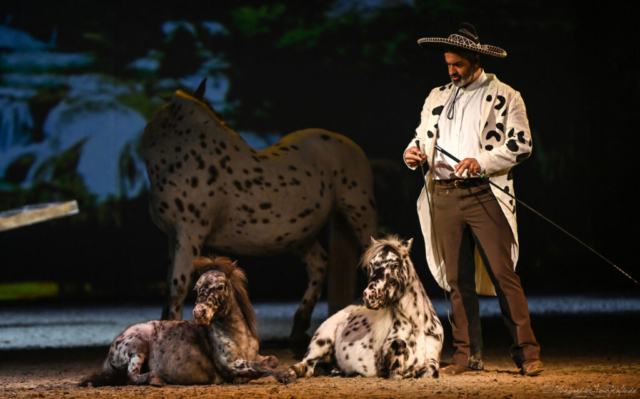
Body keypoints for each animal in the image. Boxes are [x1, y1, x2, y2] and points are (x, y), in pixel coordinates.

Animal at [81, 256, 286, 388]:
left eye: (220, 286)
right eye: (196, 288)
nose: (199, 314)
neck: (238, 336)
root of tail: (113, 347)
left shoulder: (254, 355)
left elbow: (272, 360)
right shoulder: (230, 363)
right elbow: (259, 366)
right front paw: (285, 375)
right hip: (138, 348)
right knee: (132, 376)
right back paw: (155, 379)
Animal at [141, 79, 376, 346]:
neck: (184, 157)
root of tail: (350, 145)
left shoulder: (189, 234)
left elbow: (177, 288)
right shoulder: (174, 237)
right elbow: (168, 290)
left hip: (360, 213)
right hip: (301, 237)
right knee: (318, 265)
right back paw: (298, 328)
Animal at [286, 236, 444, 382]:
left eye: (395, 264)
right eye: (371, 265)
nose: (370, 295)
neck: (418, 326)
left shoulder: (431, 360)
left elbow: (429, 370)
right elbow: (399, 346)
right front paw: (397, 373)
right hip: (320, 341)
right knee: (307, 366)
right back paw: (289, 375)